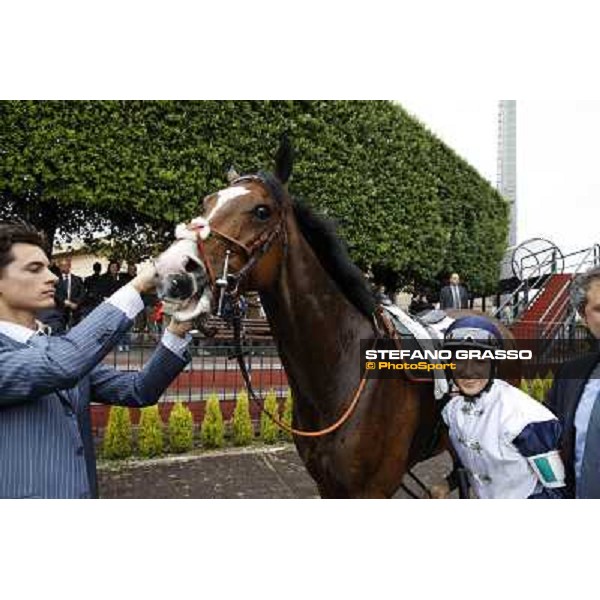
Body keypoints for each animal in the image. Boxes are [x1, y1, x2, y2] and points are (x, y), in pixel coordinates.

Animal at [182, 139, 510, 496]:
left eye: (261, 211)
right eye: (206, 202)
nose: (179, 270)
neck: (339, 368)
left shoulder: (372, 490)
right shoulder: (327, 485)